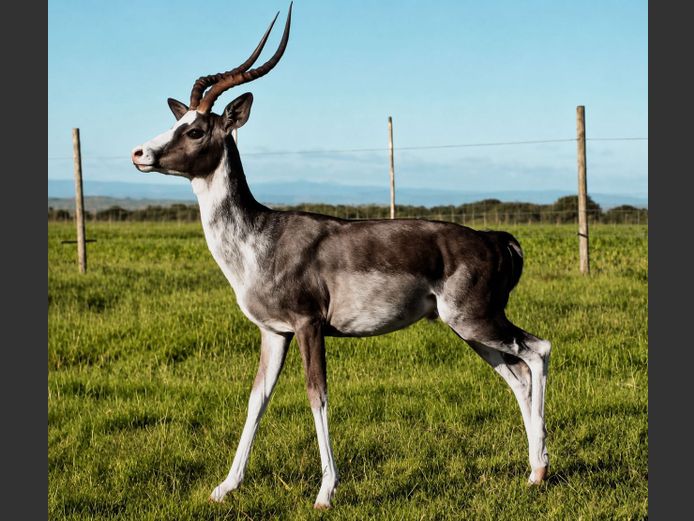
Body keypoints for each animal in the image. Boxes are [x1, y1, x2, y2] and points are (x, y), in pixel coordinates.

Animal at [131, 4, 551, 509]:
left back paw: (542, 468)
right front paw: (225, 486)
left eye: (194, 130)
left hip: (476, 321)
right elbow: (256, 399)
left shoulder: (309, 324)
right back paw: (532, 472)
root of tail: (496, 239)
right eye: (178, 122)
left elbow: (317, 395)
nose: (139, 153)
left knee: (539, 351)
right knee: (517, 376)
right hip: (470, 330)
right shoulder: (274, 332)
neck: (260, 239)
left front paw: (325, 491)